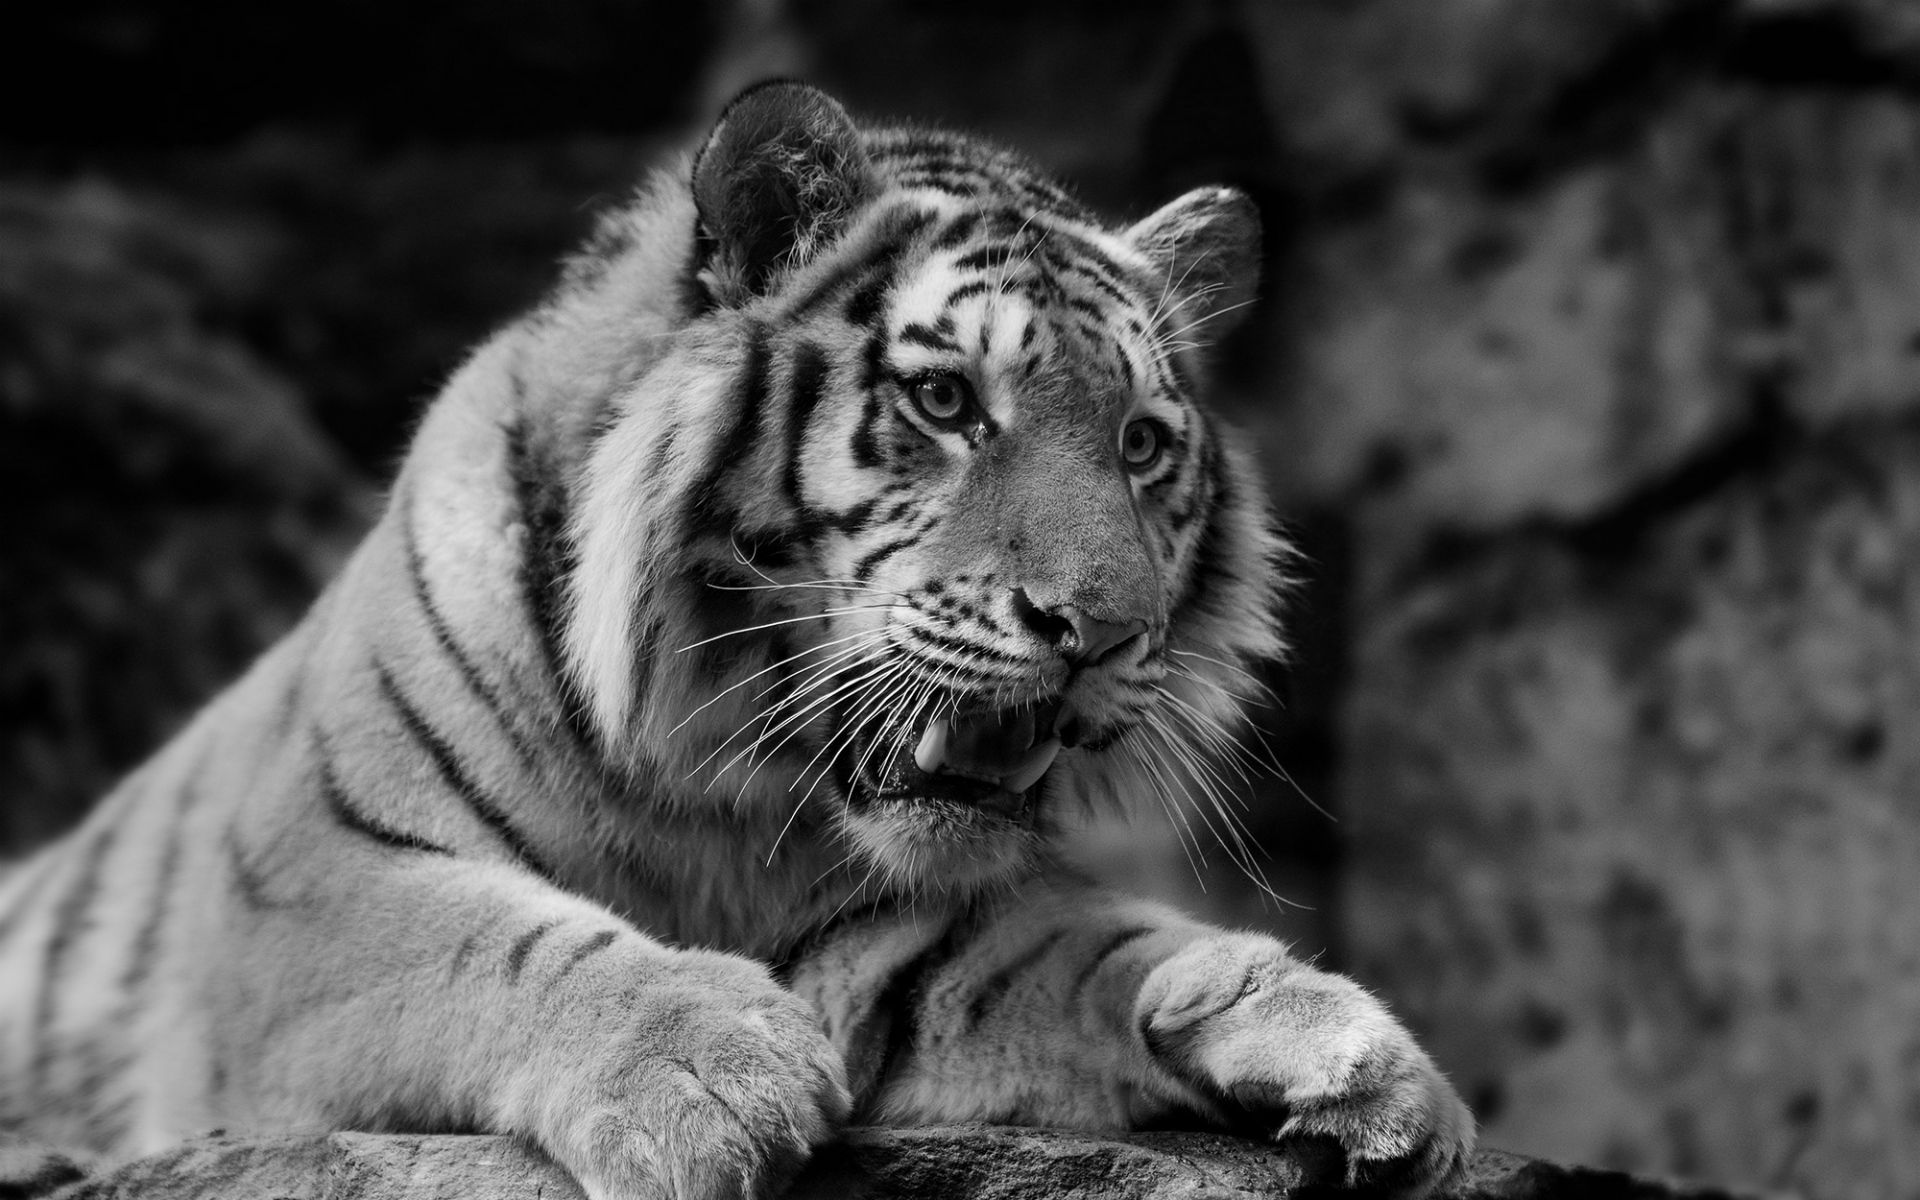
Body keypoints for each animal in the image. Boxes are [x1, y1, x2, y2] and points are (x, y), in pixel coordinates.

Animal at [0, 82, 1472, 1199]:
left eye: (1143, 445)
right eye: (947, 401)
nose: (1099, 632)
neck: (707, 778)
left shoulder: (896, 944)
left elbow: (1093, 949)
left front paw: (1350, 1051)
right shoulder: (302, 897)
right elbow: (491, 942)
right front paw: (704, 1067)